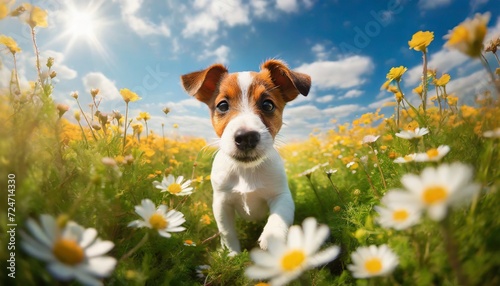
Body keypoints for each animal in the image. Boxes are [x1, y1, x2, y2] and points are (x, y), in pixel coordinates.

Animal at [182, 59, 310, 254]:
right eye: (222, 105)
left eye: (267, 105)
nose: (246, 137)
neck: (246, 171)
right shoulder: (221, 203)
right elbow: (227, 233)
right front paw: (232, 254)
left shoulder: (281, 196)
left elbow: (278, 218)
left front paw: (271, 238)